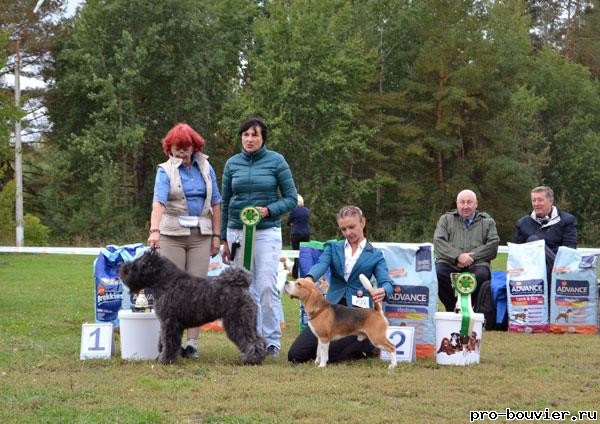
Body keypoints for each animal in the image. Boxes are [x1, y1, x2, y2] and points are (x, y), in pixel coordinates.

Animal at [119, 252, 264, 364]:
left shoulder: (170, 322)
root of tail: (242, 285)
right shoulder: (165, 323)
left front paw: (165, 360)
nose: (122, 268)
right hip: (247, 322)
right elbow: (162, 341)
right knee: (259, 339)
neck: (168, 282)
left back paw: (252, 359)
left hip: (238, 321)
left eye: (136, 265)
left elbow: (169, 342)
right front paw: (160, 356)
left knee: (251, 341)